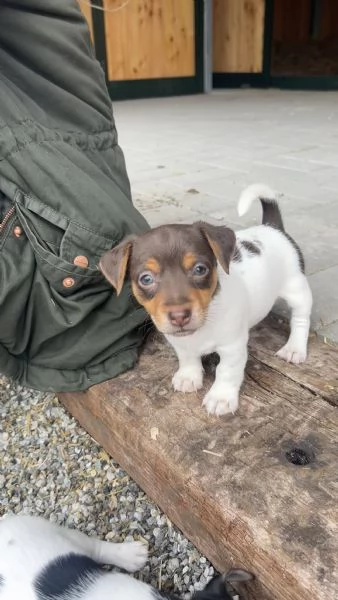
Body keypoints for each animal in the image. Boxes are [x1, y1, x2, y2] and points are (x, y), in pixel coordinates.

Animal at [99, 184, 312, 418]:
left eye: (200, 269)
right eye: (145, 279)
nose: (179, 316)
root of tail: (272, 228)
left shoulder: (232, 347)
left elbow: (226, 371)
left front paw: (221, 397)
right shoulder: (180, 343)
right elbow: (187, 358)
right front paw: (189, 376)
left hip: (297, 288)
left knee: (301, 319)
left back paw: (294, 348)